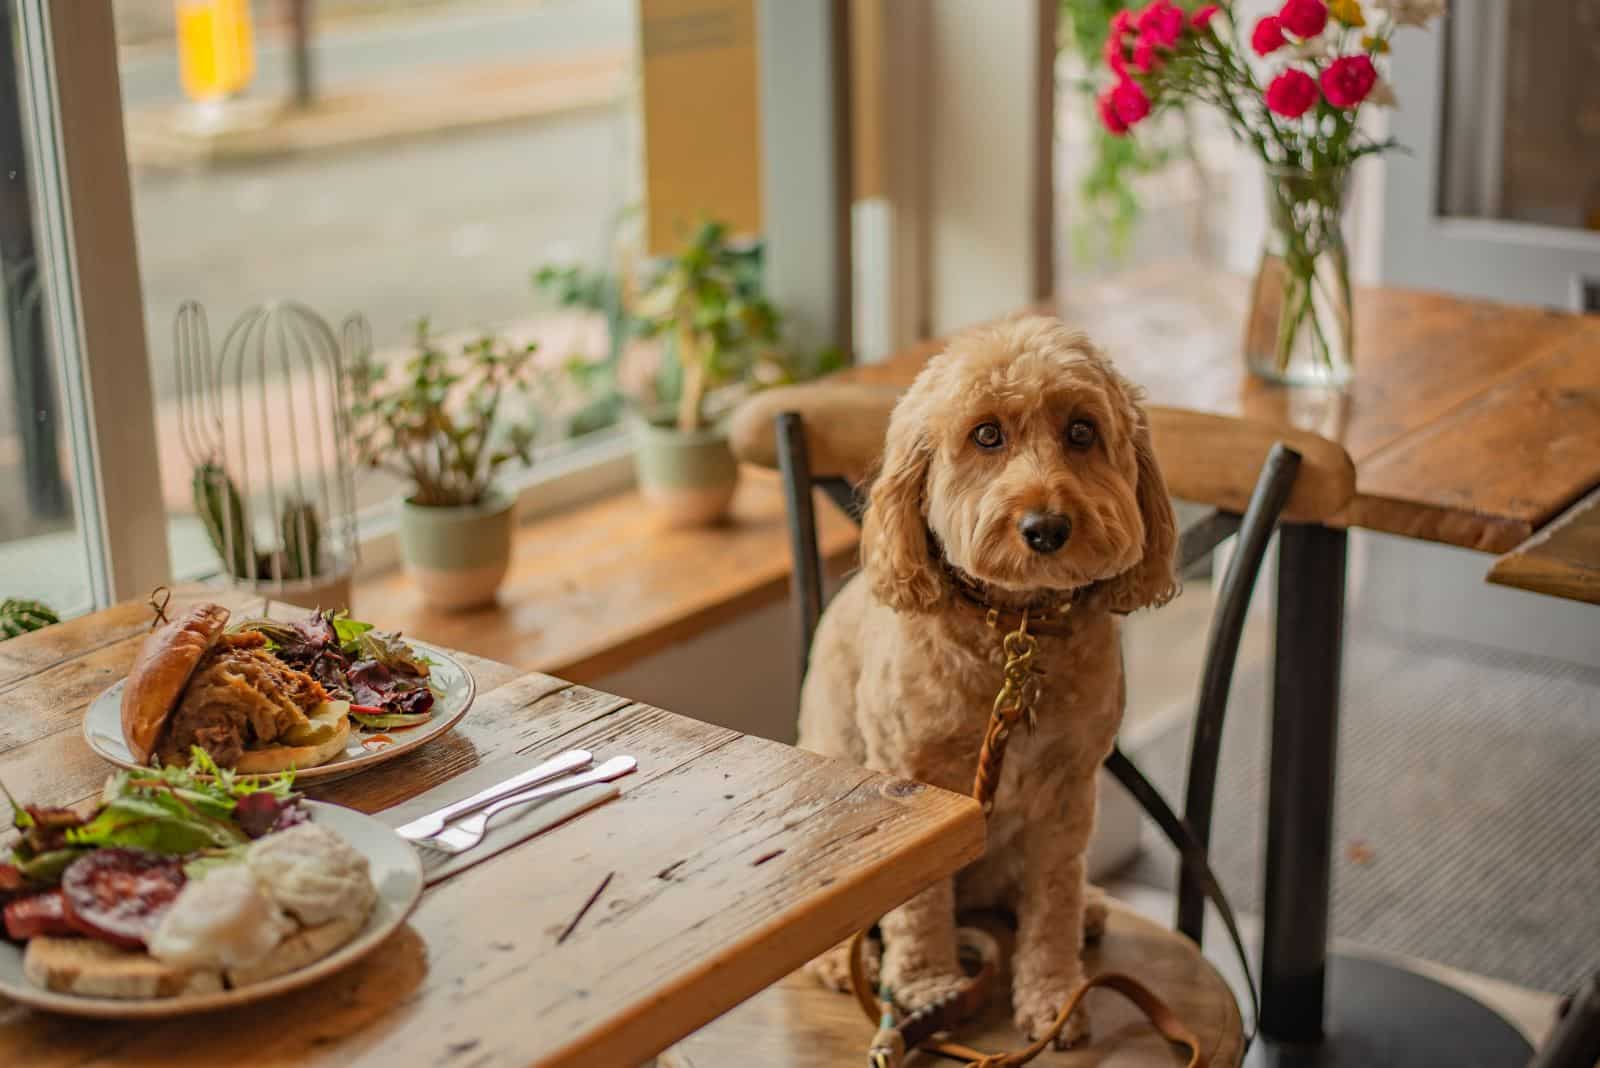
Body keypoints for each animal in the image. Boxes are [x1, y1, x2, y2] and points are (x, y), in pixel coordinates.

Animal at [796, 314, 1177, 1042]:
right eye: (986, 434)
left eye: (1082, 431)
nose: (1046, 527)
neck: (1013, 632)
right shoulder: (914, 785)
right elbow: (918, 905)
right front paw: (928, 989)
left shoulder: (1067, 792)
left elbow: (1052, 901)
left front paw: (1053, 997)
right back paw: (836, 960)